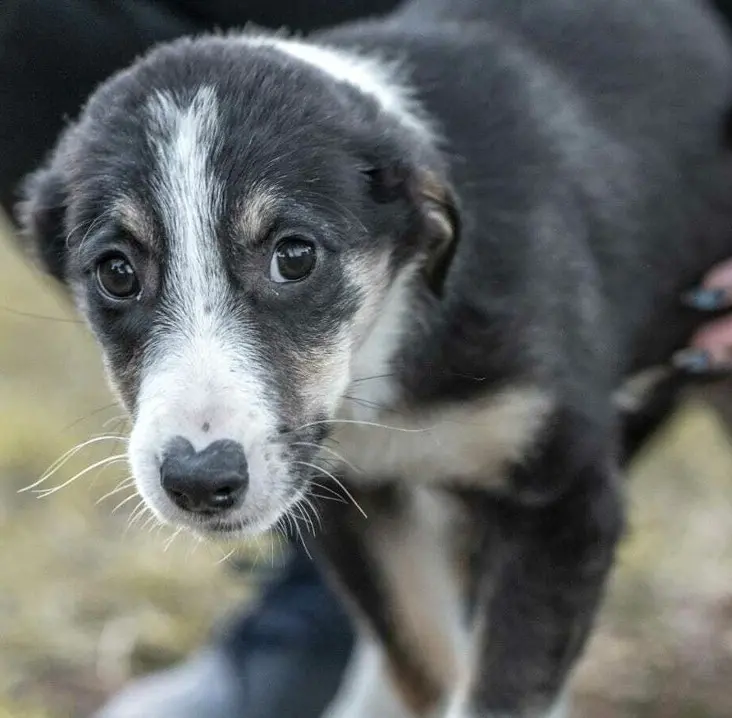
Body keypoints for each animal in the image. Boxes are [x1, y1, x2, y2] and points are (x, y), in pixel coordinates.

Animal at [14, 1, 732, 718]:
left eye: (294, 256)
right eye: (116, 273)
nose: (198, 482)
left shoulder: (562, 500)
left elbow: (498, 686)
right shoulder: (352, 497)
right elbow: (421, 655)